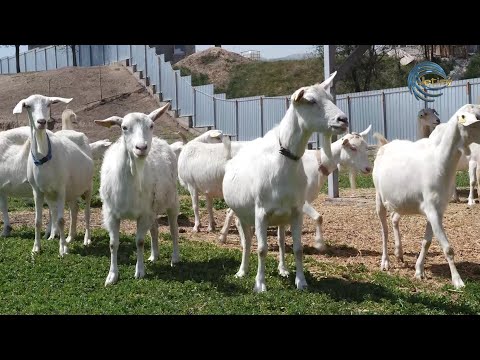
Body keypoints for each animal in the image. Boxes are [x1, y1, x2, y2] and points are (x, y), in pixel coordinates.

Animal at [12, 94, 94, 255]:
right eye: (27, 106)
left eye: (49, 104)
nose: (41, 122)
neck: (44, 158)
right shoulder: (37, 191)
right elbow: (37, 221)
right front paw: (36, 248)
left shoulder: (61, 188)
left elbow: (61, 220)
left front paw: (63, 250)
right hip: (71, 190)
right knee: (74, 209)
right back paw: (70, 237)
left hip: (87, 186)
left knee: (87, 212)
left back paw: (86, 240)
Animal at [94, 102, 179, 286]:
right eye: (124, 127)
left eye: (151, 125)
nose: (141, 147)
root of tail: (162, 141)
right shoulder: (111, 213)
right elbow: (113, 244)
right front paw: (112, 276)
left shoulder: (144, 214)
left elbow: (139, 242)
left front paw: (139, 271)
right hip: (153, 207)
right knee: (154, 229)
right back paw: (154, 256)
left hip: (172, 200)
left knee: (173, 229)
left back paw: (175, 258)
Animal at [221, 71, 348, 292]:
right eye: (311, 100)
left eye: (330, 98)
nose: (343, 119)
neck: (283, 161)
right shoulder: (261, 213)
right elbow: (262, 249)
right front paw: (260, 284)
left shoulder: (296, 211)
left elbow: (297, 248)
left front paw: (301, 281)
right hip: (242, 214)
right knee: (247, 242)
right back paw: (242, 271)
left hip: (281, 218)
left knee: (281, 241)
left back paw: (282, 269)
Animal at [374, 104, 480, 290]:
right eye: (477, 119)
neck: (439, 161)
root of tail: (385, 145)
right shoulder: (432, 209)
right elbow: (447, 248)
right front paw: (458, 281)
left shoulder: (437, 210)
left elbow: (427, 242)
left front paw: (419, 271)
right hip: (379, 197)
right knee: (384, 230)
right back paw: (385, 262)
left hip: (398, 201)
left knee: (394, 219)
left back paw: (399, 253)